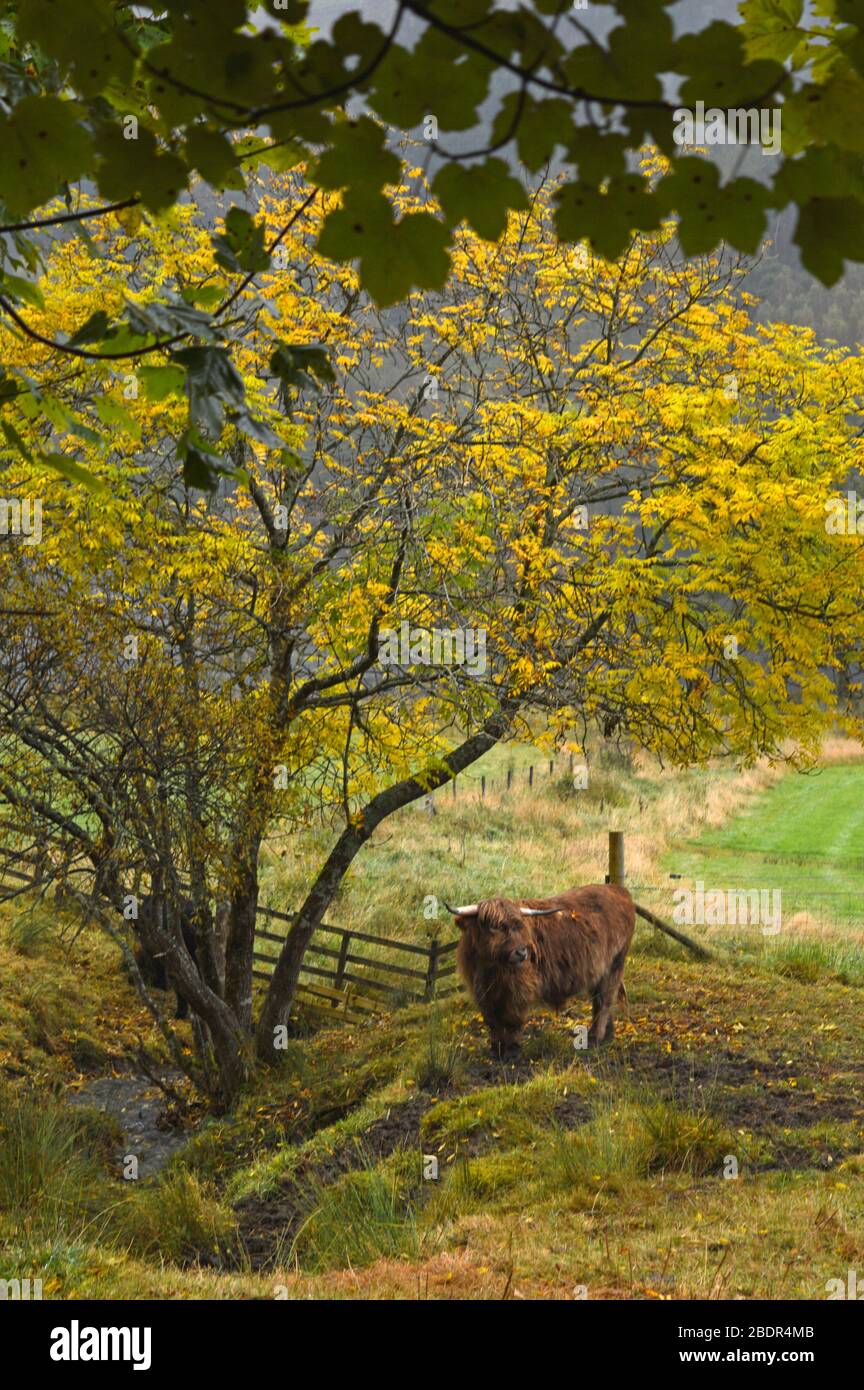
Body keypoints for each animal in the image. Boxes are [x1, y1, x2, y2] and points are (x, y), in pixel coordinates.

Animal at [449, 884, 635, 1059]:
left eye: (519, 926)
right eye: (495, 926)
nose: (522, 952)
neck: (491, 969)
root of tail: (619, 890)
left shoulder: (518, 989)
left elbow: (512, 1019)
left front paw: (512, 1050)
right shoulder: (483, 992)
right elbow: (493, 1021)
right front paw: (496, 1050)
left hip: (614, 964)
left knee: (604, 1001)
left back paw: (595, 1038)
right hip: (600, 972)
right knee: (600, 1000)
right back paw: (607, 1035)